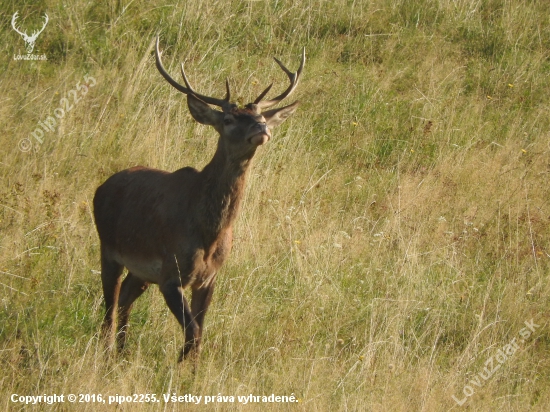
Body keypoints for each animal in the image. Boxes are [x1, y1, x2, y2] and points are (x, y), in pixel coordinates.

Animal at [92, 37, 304, 362]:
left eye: (259, 117)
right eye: (228, 119)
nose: (262, 129)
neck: (209, 232)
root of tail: (100, 188)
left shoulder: (209, 277)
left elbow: (200, 332)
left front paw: (189, 367)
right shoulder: (171, 273)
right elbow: (192, 331)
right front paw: (178, 365)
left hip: (142, 271)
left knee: (126, 296)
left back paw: (123, 351)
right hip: (108, 248)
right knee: (109, 307)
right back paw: (107, 354)